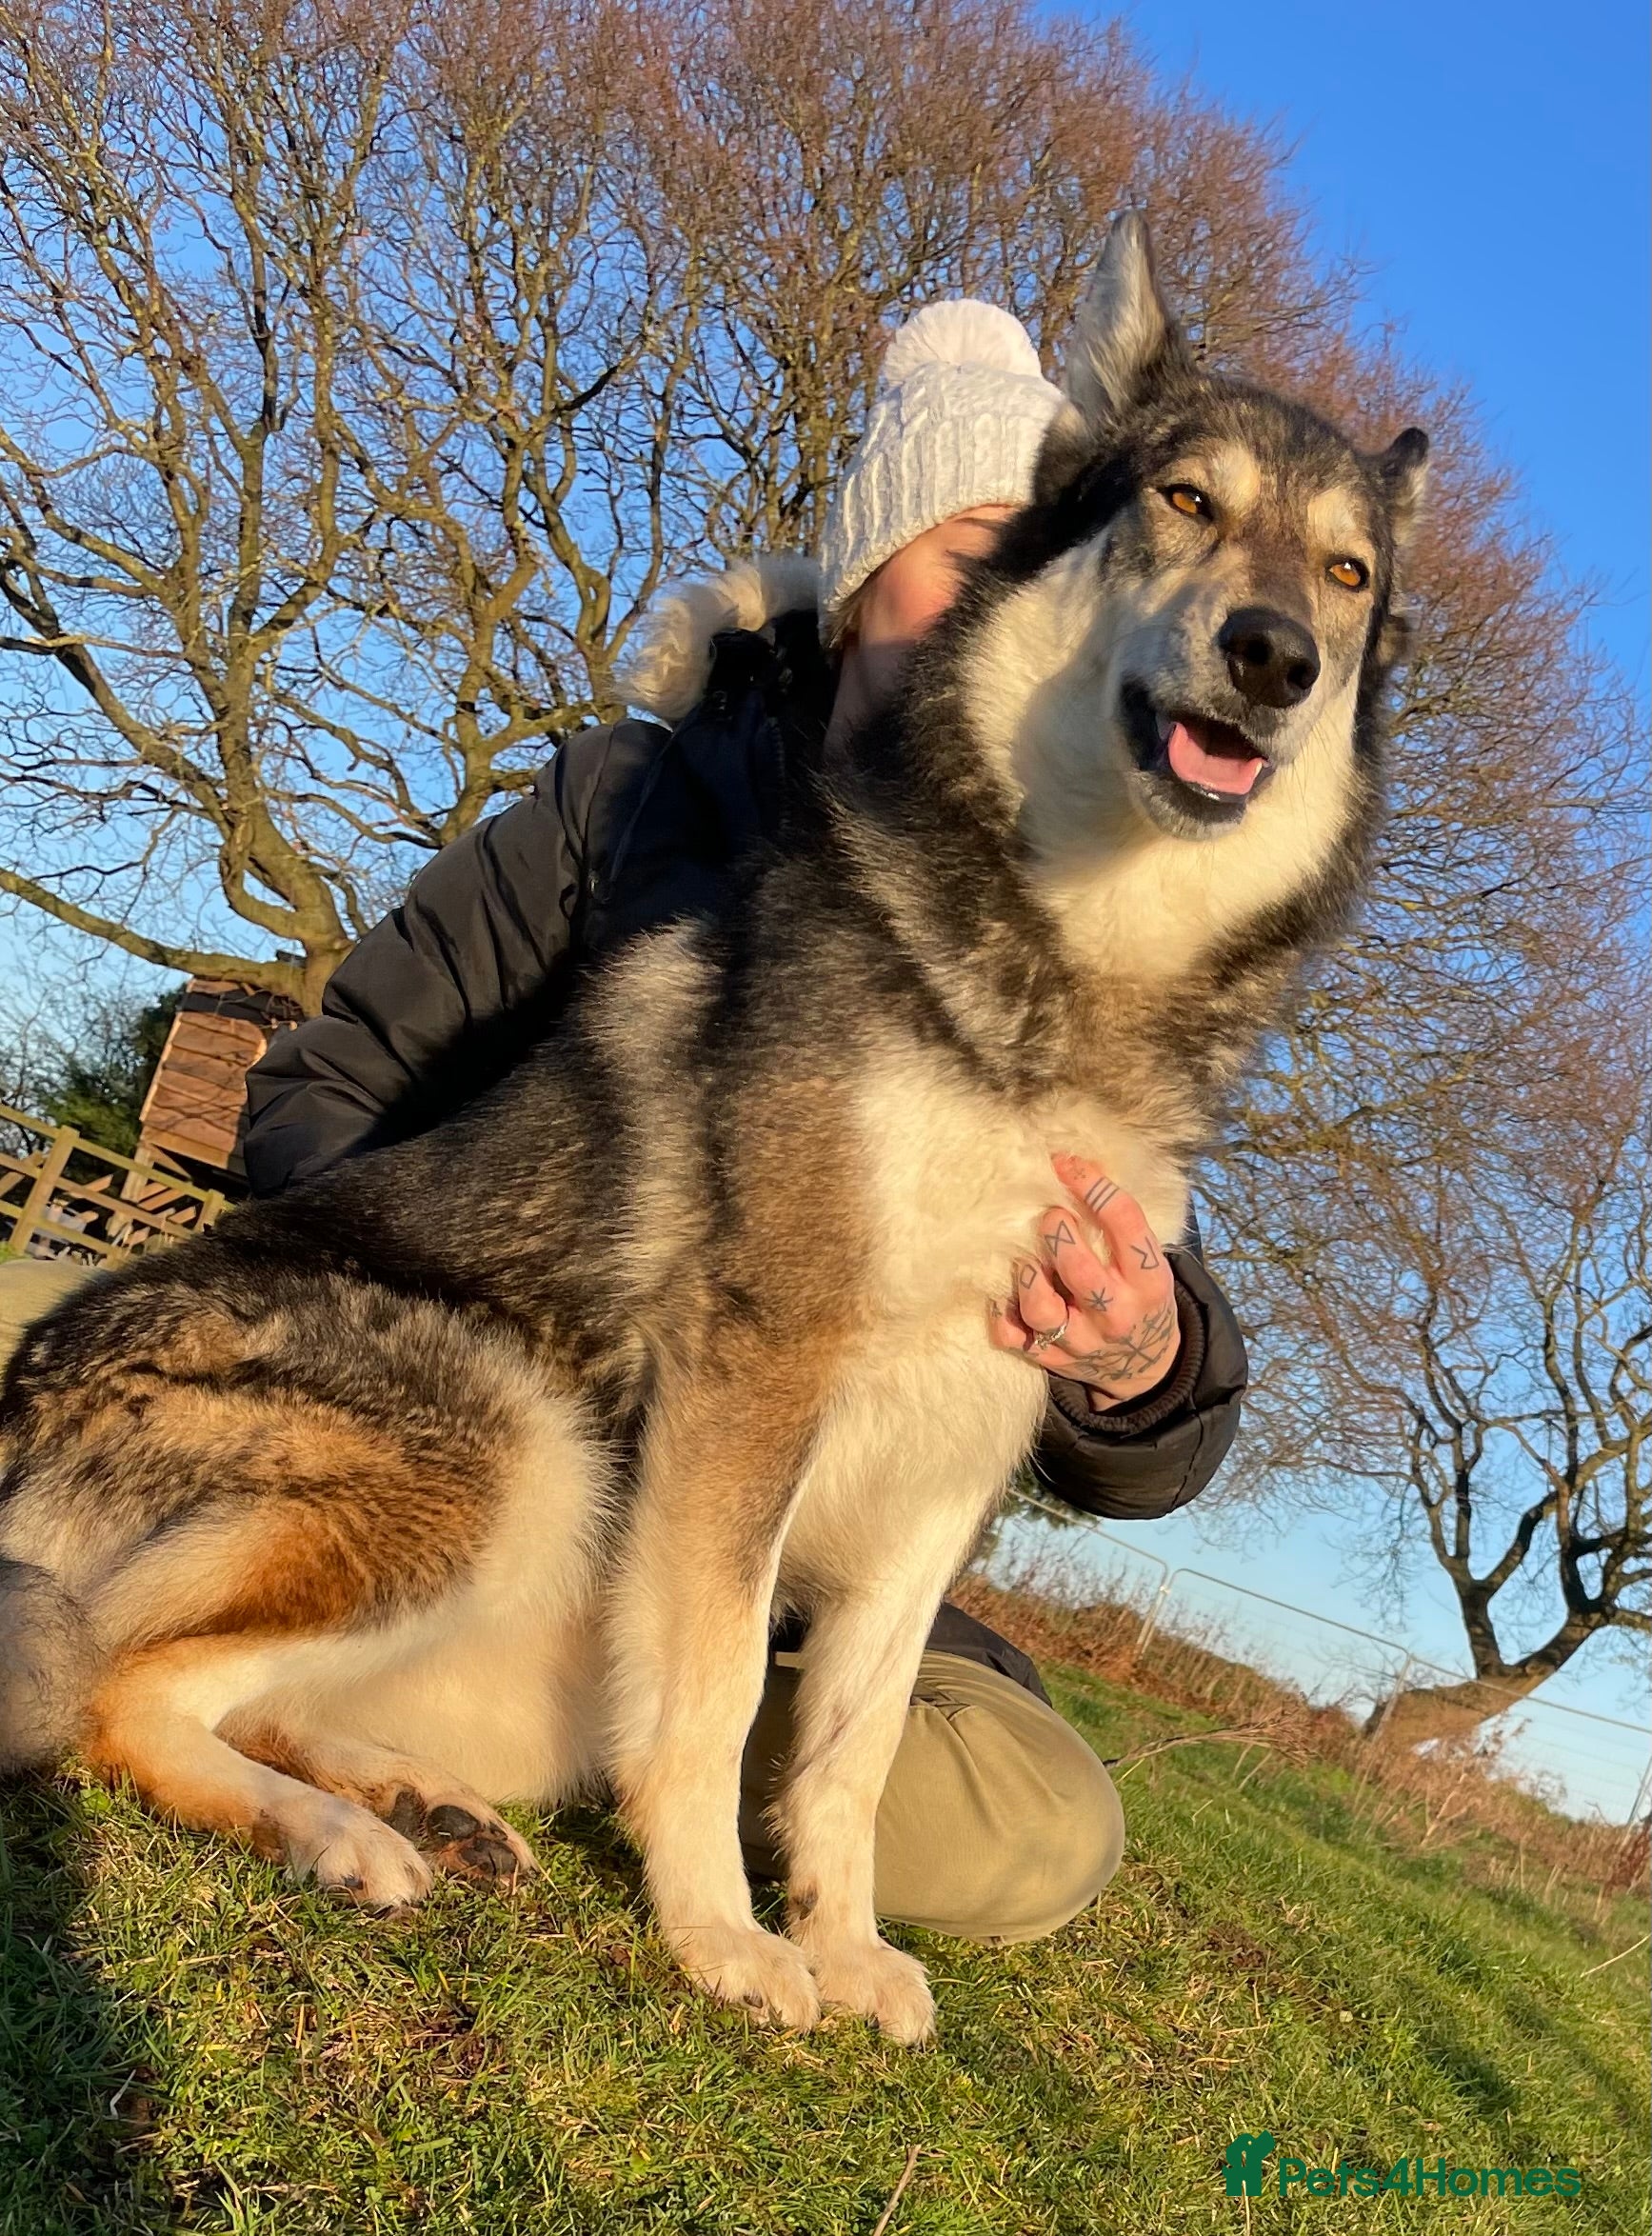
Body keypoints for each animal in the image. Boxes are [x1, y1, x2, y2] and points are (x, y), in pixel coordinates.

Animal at [0, 217, 1426, 2044]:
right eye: (1184, 499)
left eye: (1345, 574)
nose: (1273, 658)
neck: (1059, 961)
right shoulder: (759, 1378)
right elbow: (723, 1683)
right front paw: (722, 1940)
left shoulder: (960, 1436)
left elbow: (849, 1747)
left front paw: (844, 1943)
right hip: (519, 1437)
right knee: (123, 1689)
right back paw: (343, 1836)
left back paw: (416, 1802)